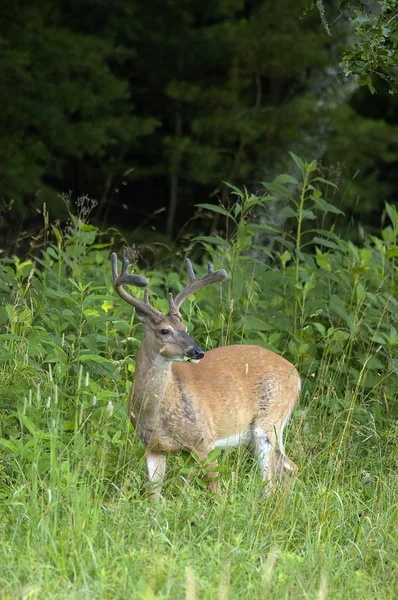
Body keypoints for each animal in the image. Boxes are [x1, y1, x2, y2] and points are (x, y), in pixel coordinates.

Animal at [109, 251, 298, 500]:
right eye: (164, 331)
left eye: (186, 328)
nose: (197, 352)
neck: (157, 412)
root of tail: (297, 376)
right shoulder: (152, 446)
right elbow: (154, 495)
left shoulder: (204, 440)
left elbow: (214, 488)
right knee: (289, 467)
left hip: (268, 423)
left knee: (271, 480)